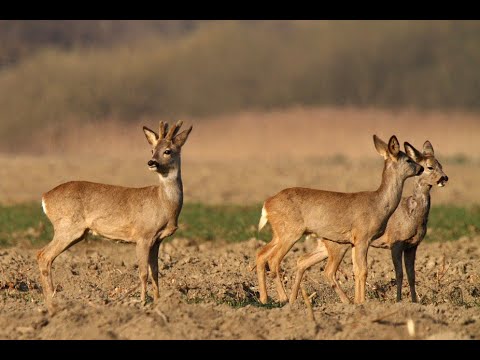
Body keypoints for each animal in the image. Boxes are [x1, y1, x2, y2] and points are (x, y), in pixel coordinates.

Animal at [37, 120, 193, 310]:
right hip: (67, 227)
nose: (151, 162)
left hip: (74, 232)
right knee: (43, 255)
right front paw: (142, 302)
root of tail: (45, 197)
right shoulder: (143, 236)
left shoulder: (157, 240)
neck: (163, 203)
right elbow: (143, 272)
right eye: (152, 149)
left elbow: (155, 271)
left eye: (167, 150)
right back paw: (52, 303)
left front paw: (158, 302)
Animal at [255, 135, 424, 304]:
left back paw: (265, 298)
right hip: (291, 232)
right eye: (408, 159)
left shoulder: (354, 241)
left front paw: (357, 302)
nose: (421, 168)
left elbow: (356, 270)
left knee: (261, 254)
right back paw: (283, 298)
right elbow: (363, 270)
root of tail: (267, 204)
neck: (378, 204)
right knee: (274, 260)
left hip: (280, 233)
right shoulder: (363, 236)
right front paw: (362, 302)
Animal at [292, 141, 450, 304]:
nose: (444, 178)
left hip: (326, 244)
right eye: (429, 166)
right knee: (326, 269)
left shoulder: (413, 245)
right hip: (338, 245)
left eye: (440, 164)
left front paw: (414, 302)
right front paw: (398, 301)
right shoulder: (396, 242)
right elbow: (399, 273)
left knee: (303, 261)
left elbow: (412, 275)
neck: (412, 215)